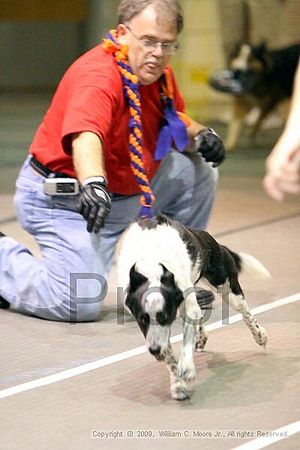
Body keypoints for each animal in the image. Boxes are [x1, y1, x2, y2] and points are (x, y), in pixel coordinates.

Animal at [116, 215, 270, 400]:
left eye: (164, 316)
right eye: (142, 319)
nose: (154, 350)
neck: (150, 266)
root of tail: (209, 239)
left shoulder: (181, 308)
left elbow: (186, 340)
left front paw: (187, 369)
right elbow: (170, 354)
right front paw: (177, 385)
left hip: (227, 288)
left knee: (246, 314)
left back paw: (260, 335)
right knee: (201, 317)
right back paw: (202, 338)